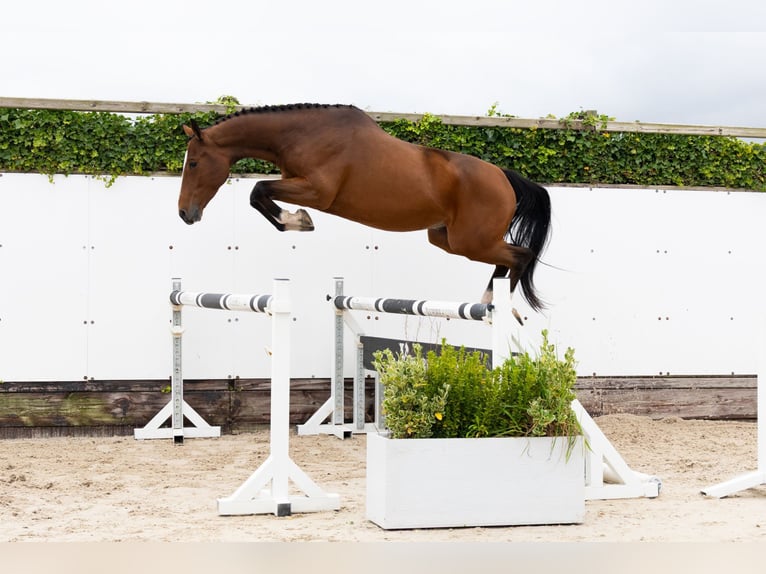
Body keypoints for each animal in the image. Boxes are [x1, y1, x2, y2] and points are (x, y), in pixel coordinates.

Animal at [178, 103, 551, 311]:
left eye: (193, 163)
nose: (184, 213)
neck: (302, 133)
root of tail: (503, 176)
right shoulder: (298, 183)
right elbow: (260, 195)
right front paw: (297, 220)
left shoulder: (317, 192)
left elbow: (257, 191)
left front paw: (298, 220)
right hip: (447, 239)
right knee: (505, 260)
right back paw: (487, 302)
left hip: (471, 242)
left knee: (520, 256)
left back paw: (500, 307)